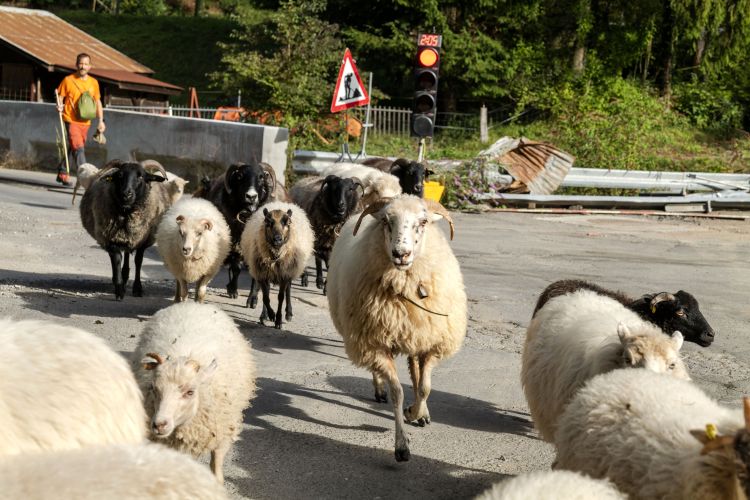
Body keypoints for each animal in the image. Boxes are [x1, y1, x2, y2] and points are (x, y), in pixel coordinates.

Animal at [80, 159, 171, 300]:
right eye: (120, 175)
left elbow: (138, 261)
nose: (126, 194)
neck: (127, 213)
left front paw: (137, 289)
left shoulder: (142, 240)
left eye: (141, 176)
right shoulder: (111, 239)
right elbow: (117, 261)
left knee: (129, 254)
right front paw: (119, 290)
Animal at [134, 302, 256, 484]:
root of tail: (194, 304)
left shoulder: (222, 432)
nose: (159, 424)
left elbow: (216, 466)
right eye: (154, 388)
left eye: (190, 392)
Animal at [205, 161, 277, 299]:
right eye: (240, 176)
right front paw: (233, 290)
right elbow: (236, 267)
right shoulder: (234, 240)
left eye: (261, 177)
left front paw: (253, 297)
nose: (251, 196)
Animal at [327, 195, 467, 461]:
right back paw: (379, 390)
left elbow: (425, 387)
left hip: (415, 334)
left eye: (423, 221)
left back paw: (421, 413)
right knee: (380, 373)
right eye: (386, 221)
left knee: (416, 372)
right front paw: (401, 445)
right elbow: (398, 393)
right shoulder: (375, 344)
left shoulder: (432, 342)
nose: (401, 253)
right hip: (366, 338)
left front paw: (416, 412)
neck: (404, 283)